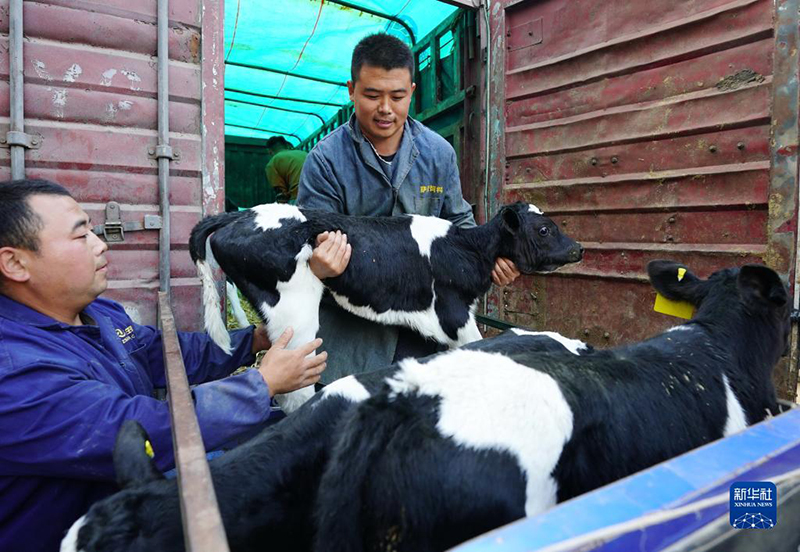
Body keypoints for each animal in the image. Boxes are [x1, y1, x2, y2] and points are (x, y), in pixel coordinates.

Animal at [191, 202, 584, 410]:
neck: (468, 250)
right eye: (544, 229)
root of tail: (239, 215)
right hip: (296, 312)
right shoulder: (454, 315)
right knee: (293, 388)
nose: (579, 247)